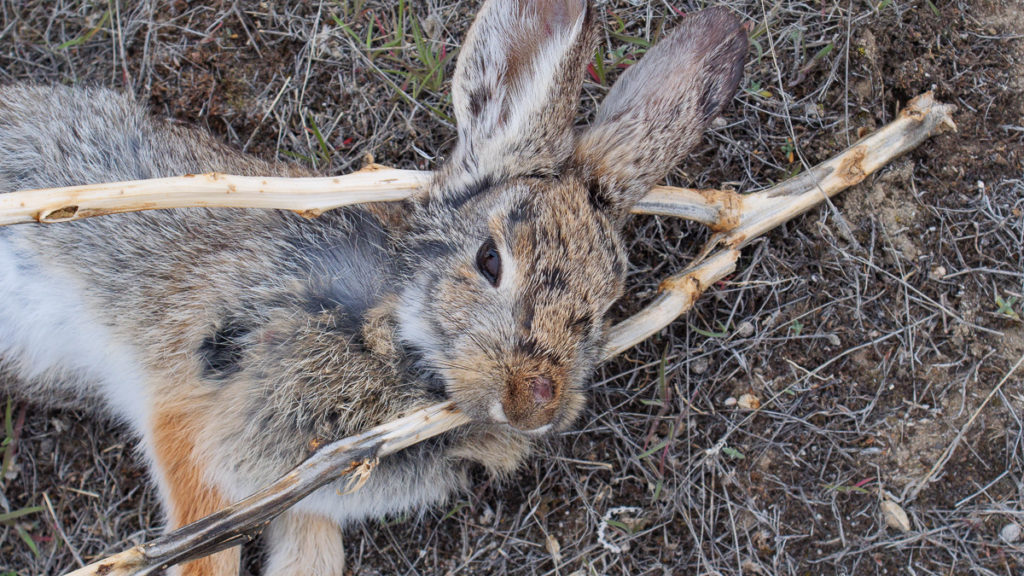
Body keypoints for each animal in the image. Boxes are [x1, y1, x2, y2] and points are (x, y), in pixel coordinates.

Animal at [0, 1, 746, 574]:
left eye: (607, 305)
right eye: (490, 261)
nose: (534, 402)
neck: (397, 340)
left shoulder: (306, 497)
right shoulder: (194, 418)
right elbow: (204, 548)